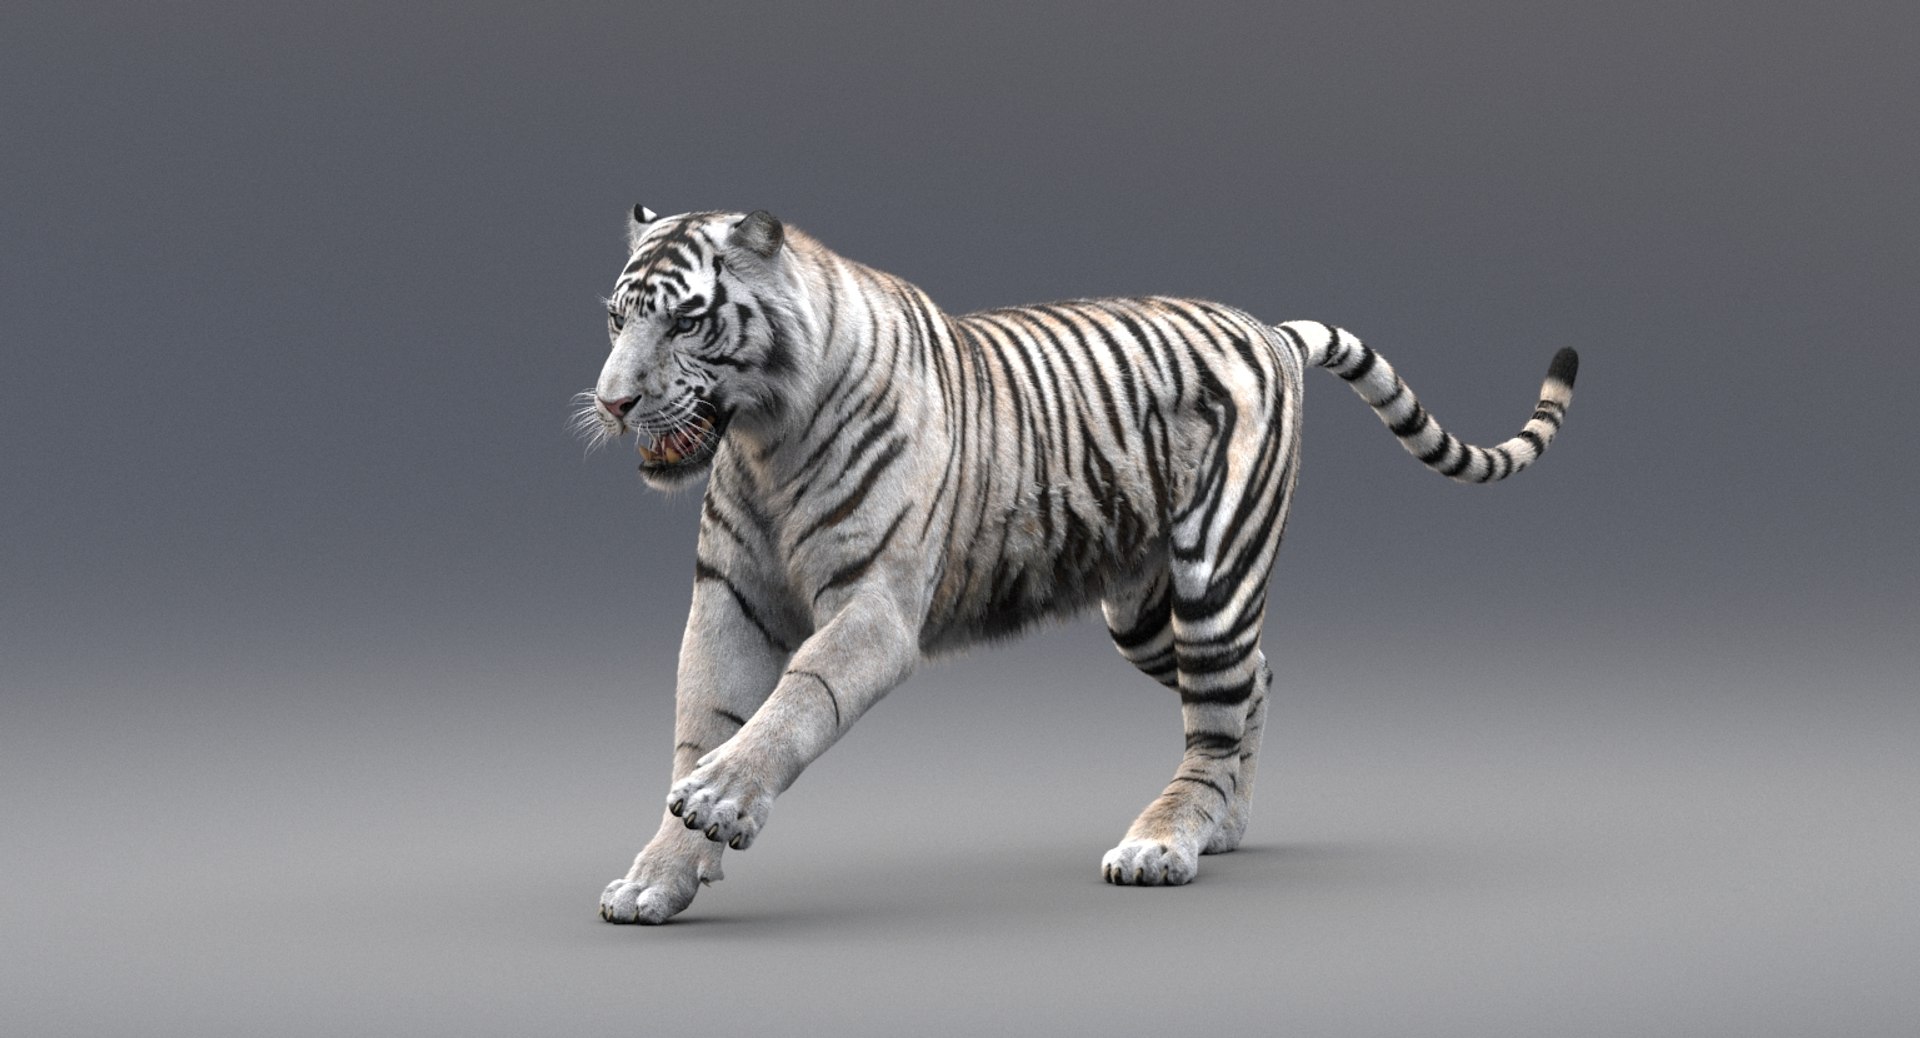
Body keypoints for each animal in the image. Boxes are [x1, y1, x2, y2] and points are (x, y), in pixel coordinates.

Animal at [580, 206, 1579, 924]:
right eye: (617, 320)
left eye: (688, 320)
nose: (612, 401)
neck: (762, 442)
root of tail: (1270, 328)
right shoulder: (729, 603)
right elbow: (706, 720)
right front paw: (662, 873)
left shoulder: (874, 607)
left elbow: (794, 702)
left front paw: (717, 801)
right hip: (1142, 615)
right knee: (1254, 682)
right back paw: (1223, 826)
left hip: (1214, 576)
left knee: (1216, 717)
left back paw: (1164, 844)